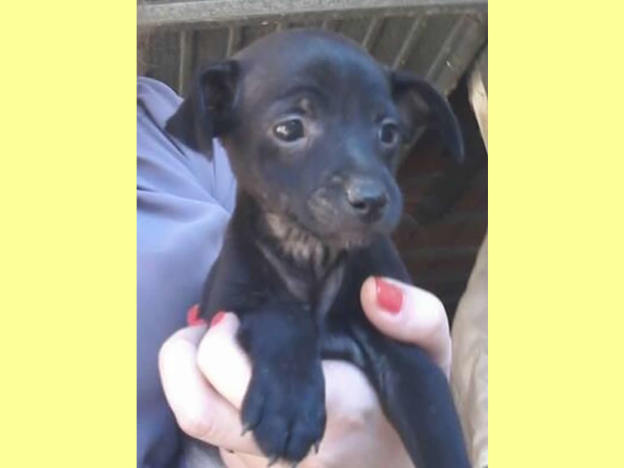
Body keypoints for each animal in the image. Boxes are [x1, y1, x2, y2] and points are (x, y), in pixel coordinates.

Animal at [166, 29, 470, 468]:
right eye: (290, 129)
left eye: (389, 132)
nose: (372, 199)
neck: (311, 252)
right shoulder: (223, 306)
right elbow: (282, 313)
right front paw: (288, 404)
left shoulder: (404, 351)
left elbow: (435, 419)